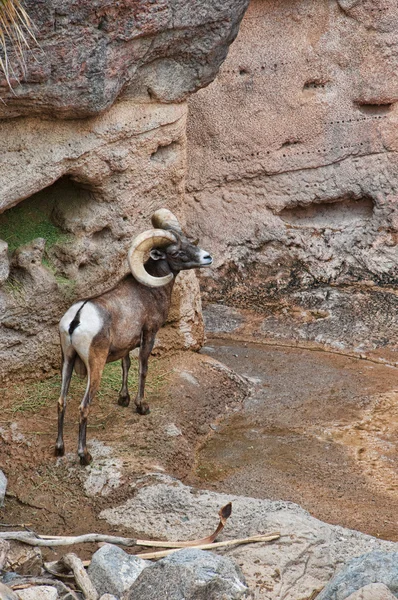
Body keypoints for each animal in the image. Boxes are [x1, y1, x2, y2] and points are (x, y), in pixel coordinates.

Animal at [54, 209, 213, 466]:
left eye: (190, 242)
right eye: (176, 252)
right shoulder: (149, 334)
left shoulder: (126, 345)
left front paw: (124, 399)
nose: (207, 258)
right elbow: (143, 368)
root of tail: (76, 319)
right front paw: (141, 406)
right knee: (83, 406)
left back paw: (59, 449)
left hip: (66, 361)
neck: (149, 291)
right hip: (95, 366)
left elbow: (126, 365)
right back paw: (84, 455)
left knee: (62, 401)